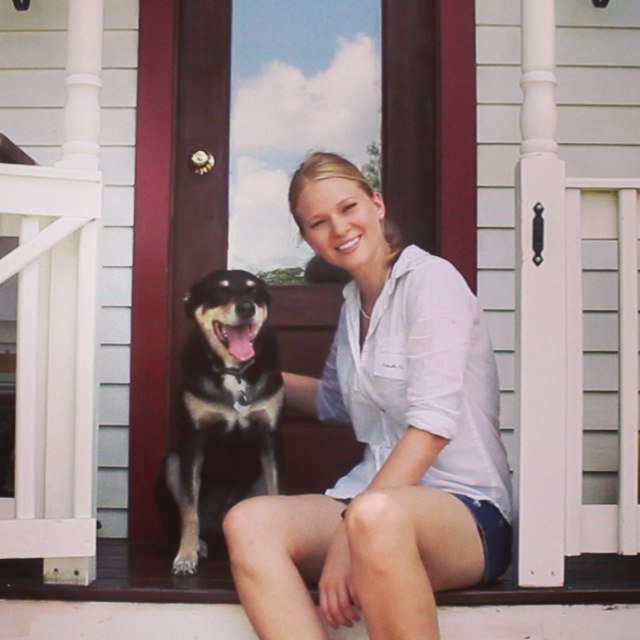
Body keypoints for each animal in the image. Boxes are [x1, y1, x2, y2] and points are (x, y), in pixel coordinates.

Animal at [155, 270, 282, 576]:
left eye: (254, 290)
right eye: (220, 291)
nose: (247, 307)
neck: (234, 373)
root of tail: (219, 526)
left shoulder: (269, 438)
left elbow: (276, 493)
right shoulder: (192, 441)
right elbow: (189, 511)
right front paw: (186, 556)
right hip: (171, 463)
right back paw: (198, 545)